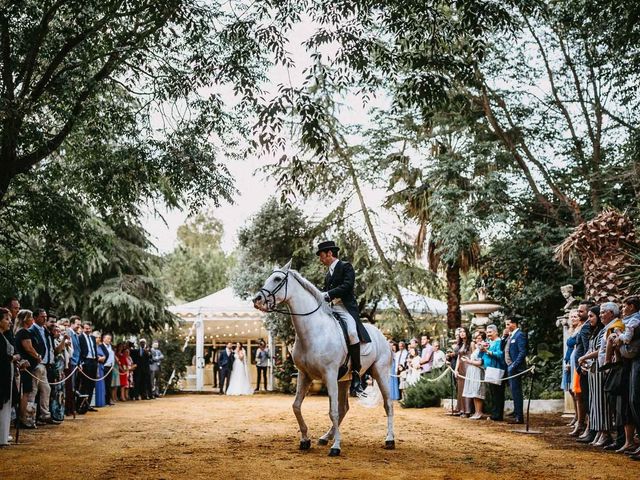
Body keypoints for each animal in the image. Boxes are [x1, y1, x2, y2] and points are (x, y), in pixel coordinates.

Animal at [251, 260, 392, 456]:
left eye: (277, 278)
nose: (256, 299)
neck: (313, 331)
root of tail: (383, 336)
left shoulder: (329, 374)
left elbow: (332, 411)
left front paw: (336, 447)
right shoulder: (304, 375)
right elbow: (296, 406)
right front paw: (305, 440)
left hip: (380, 373)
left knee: (387, 405)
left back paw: (389, 439)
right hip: (345, 380)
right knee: (344, 408)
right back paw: (326, 437)